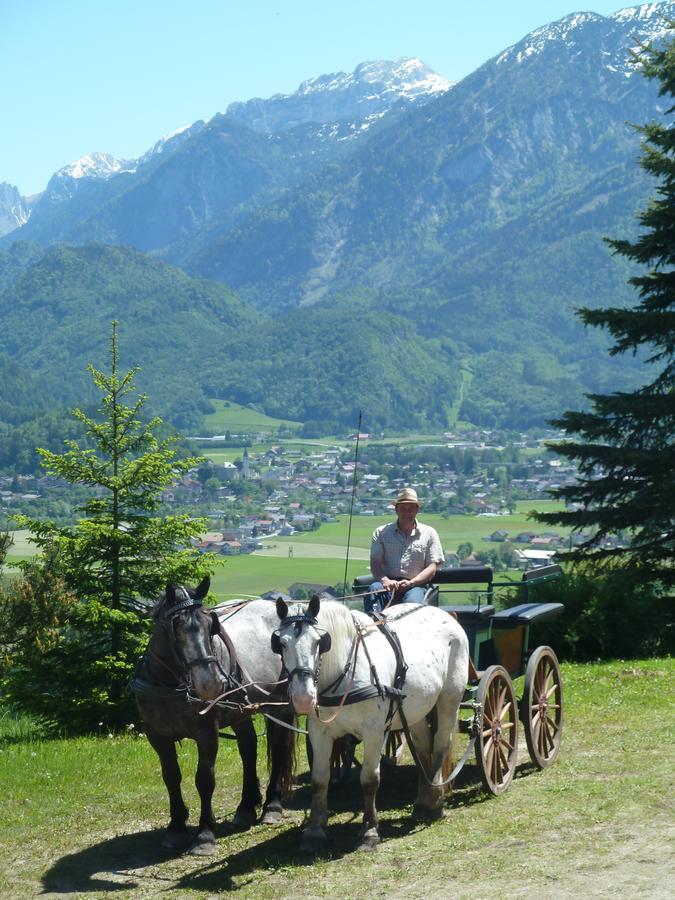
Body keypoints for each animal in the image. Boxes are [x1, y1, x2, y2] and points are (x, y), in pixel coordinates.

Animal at [133, 580, 298, 856]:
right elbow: (171, 777)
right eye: (175, 628)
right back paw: (246, 807)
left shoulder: (207, 733)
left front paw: (204, 835)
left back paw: (271, 806)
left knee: (277, 749)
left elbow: (205, 779)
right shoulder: (156, 735)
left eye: (212, 625)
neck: (170, 684)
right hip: (241, 709)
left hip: (279, 705)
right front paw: (176, 827)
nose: (210, 684)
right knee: (248, 748)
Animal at [272, 596, 468, 852]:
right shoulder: (319, 732)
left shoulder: (374, 731)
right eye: (282, 644)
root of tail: (444, 614)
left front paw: (370, 831)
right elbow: (319, 780)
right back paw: (423, 802)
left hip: (449, 700)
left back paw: (435, 802)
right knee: (423, 749)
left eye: (318, 642)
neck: (344, 672)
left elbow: (369, 780)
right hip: (416, 710)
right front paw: (314, 831)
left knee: (441, 744)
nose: (303, 698)